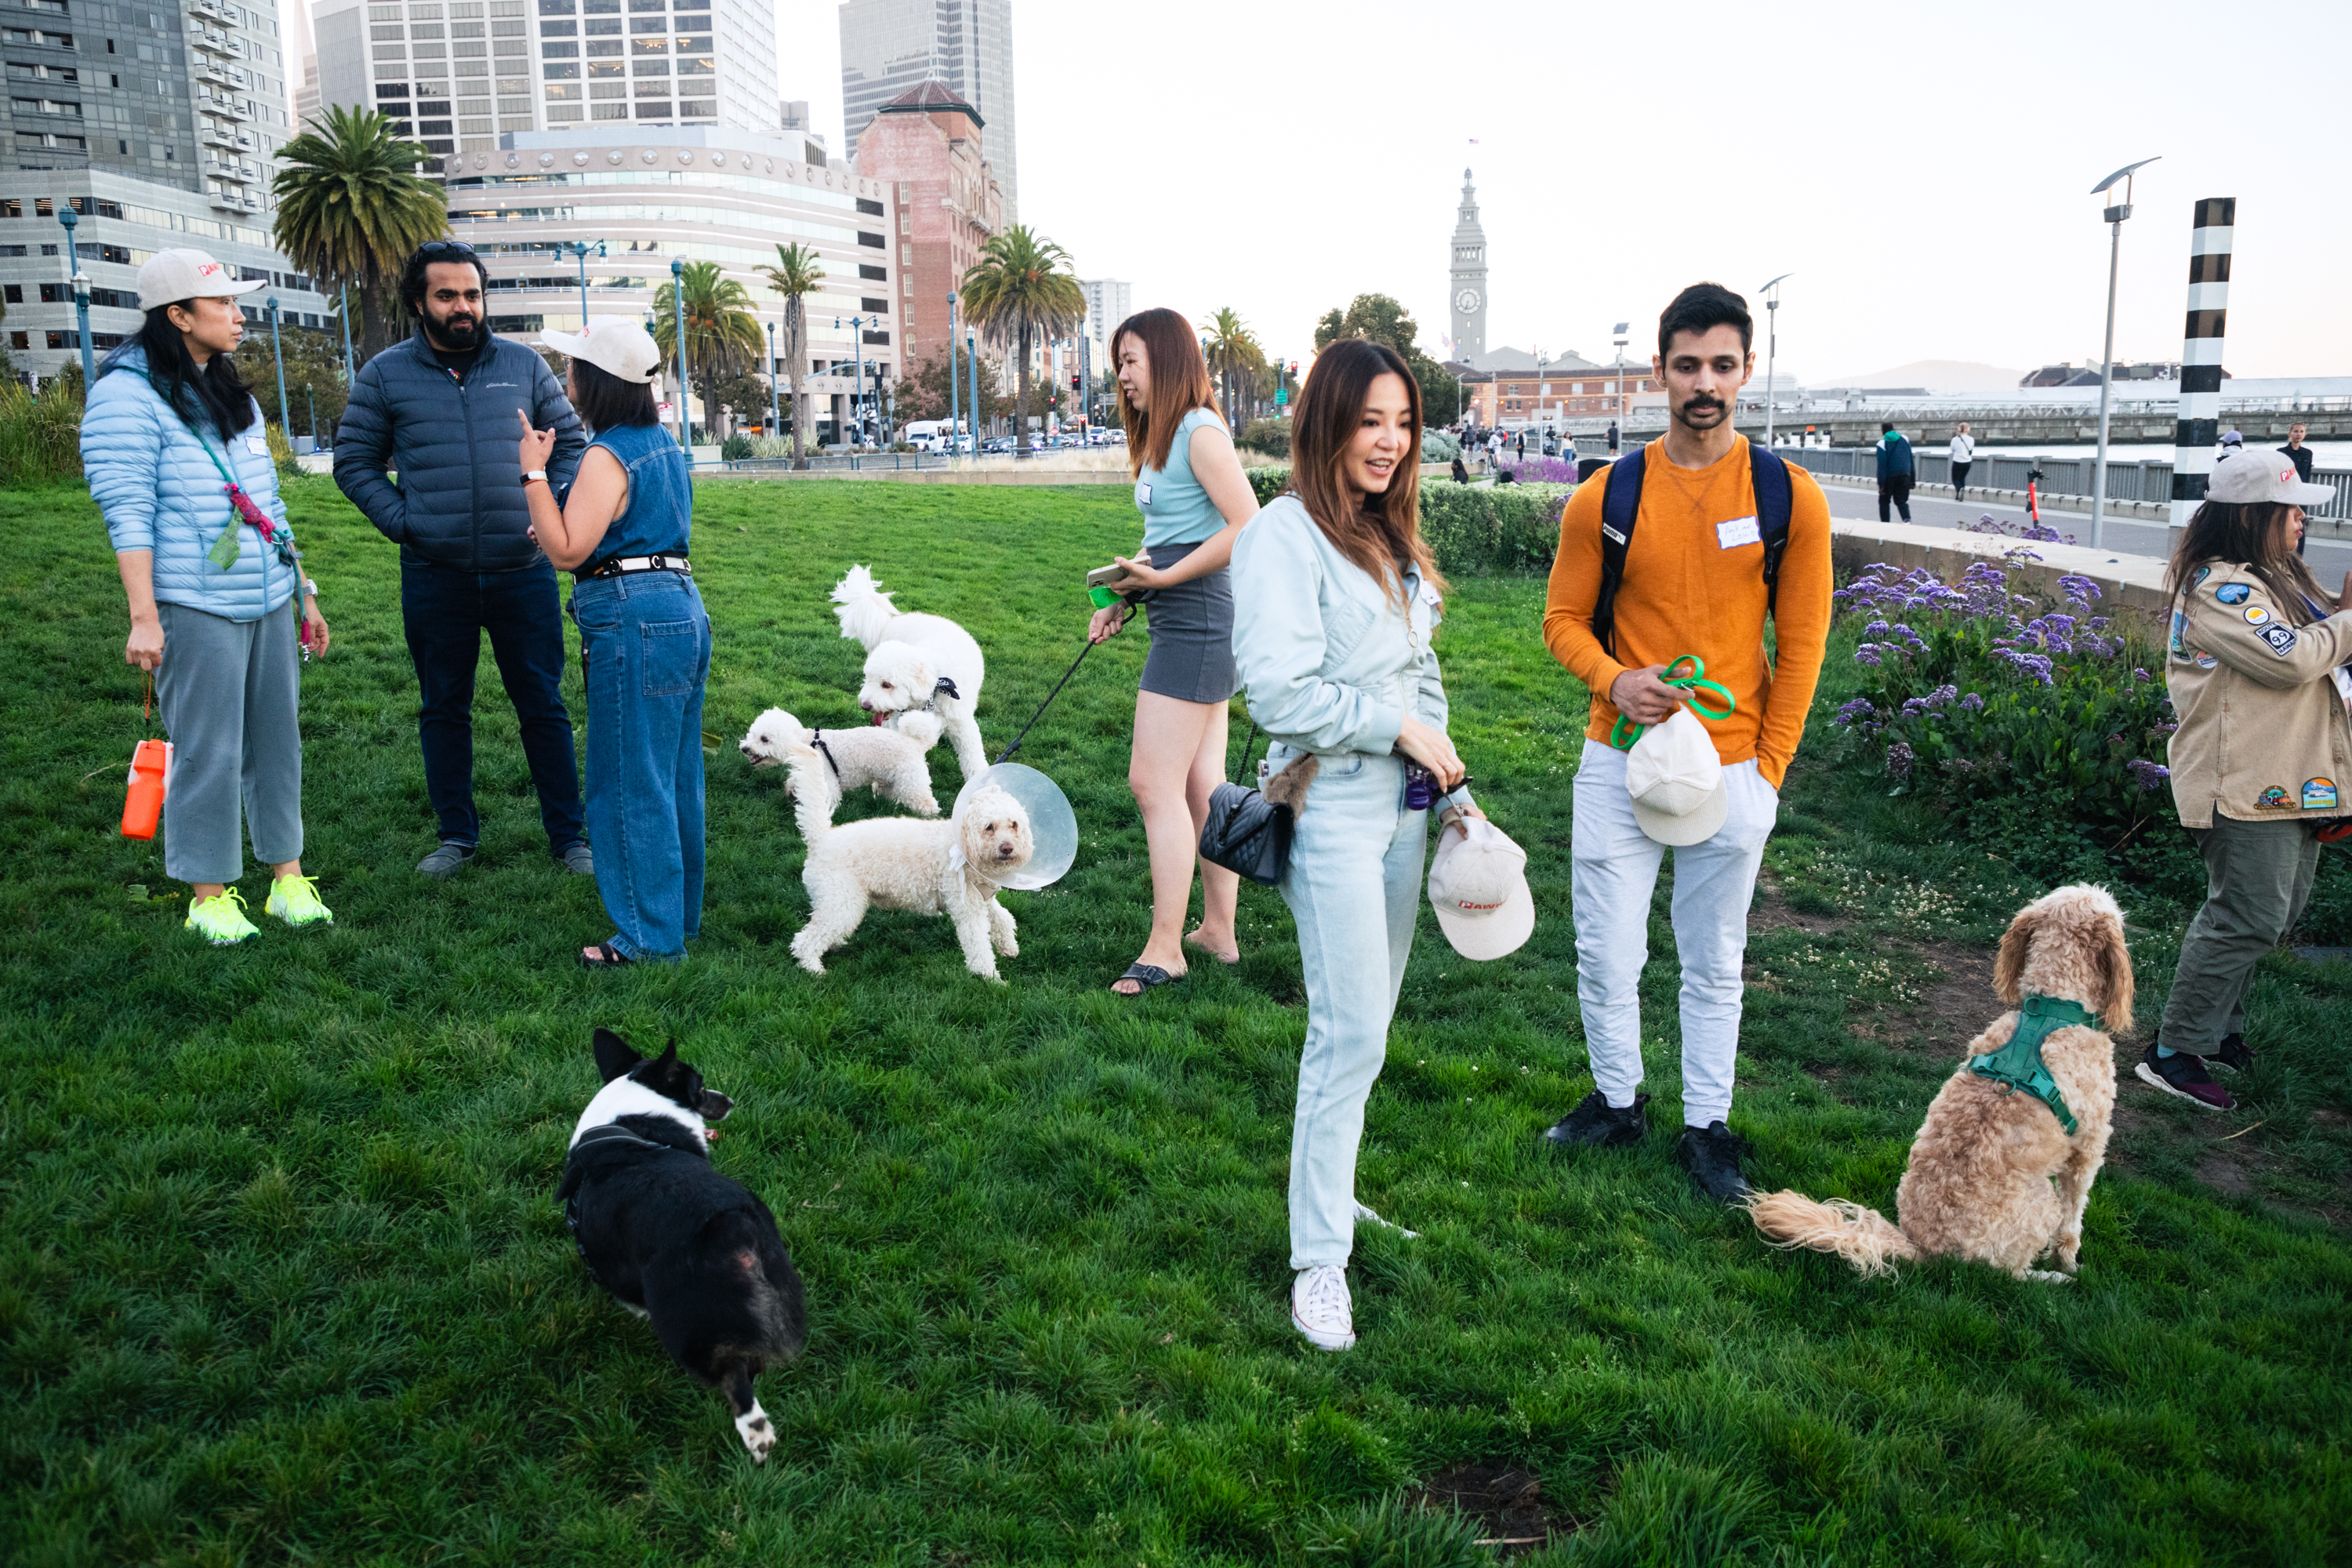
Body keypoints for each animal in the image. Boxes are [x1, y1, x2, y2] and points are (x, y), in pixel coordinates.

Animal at [560, 1029, 809, 1457]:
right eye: (700, 1086)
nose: (729, 1101)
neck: (632, 1120)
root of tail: (730, 1222)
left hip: (687, 1328)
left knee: (733, 1378)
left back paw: (756, 1431)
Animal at [743, 710, 946, 827]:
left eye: (764, 739)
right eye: (751, 735)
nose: (744, 748)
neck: (807, 743)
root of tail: (917, 744)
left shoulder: (827, 778)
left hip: (912, 783)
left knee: (926, 803)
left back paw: (929, 818)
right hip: (887, 780)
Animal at [786, 738, 1035, 982]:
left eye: (1014, 825)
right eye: (989, 827)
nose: (1007, 848)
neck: (962, 848)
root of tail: (821, 837)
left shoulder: (982, 898)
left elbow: (1004, 917)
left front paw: (1009, 946)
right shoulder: (966, 906)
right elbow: (978, 945)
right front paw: (990, 978)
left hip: (832, 901)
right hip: (841, 903)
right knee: (805, 940)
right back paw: (814, 969)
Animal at [833, 566, 988, 780]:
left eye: (887, 685)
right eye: (867, 679)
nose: (865, 705)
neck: (936, 686)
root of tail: (890, 622)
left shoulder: (963, 726)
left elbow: (974, 760)